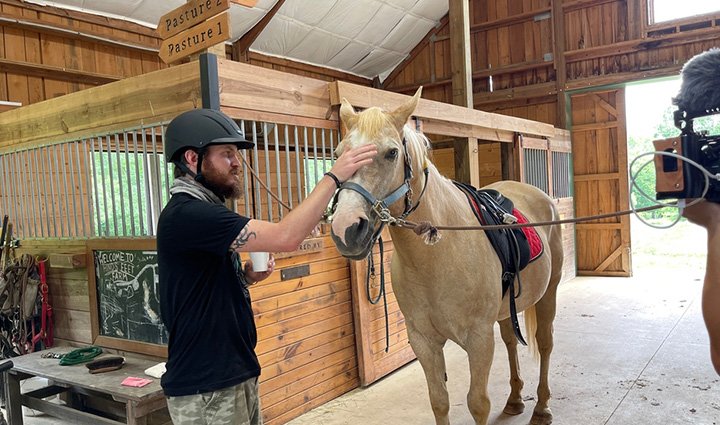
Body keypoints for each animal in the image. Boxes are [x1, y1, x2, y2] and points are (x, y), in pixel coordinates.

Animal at [330, 88, 564, 422]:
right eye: (338, 154)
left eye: (391, 153)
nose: (346, 228)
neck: (438, 258)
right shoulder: (423, 341)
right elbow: (439, 401)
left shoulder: (479, 339)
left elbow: (478, 403)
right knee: (510, 341)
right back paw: (515, 399)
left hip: (548, 293)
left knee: (545, 344)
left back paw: (542, 407)